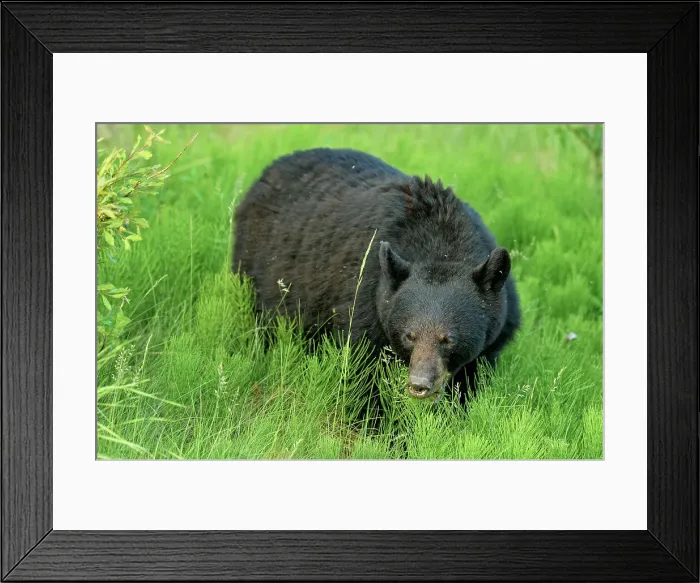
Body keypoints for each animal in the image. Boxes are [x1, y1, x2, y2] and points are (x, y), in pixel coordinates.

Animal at [232, 147, 520, 403]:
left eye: (448, 339)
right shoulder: (365, 299)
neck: (441, 245)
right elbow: (364, 374)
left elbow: (469, 382)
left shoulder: (493, 338)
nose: (419, 385)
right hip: (256, 269)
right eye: (409, 335)